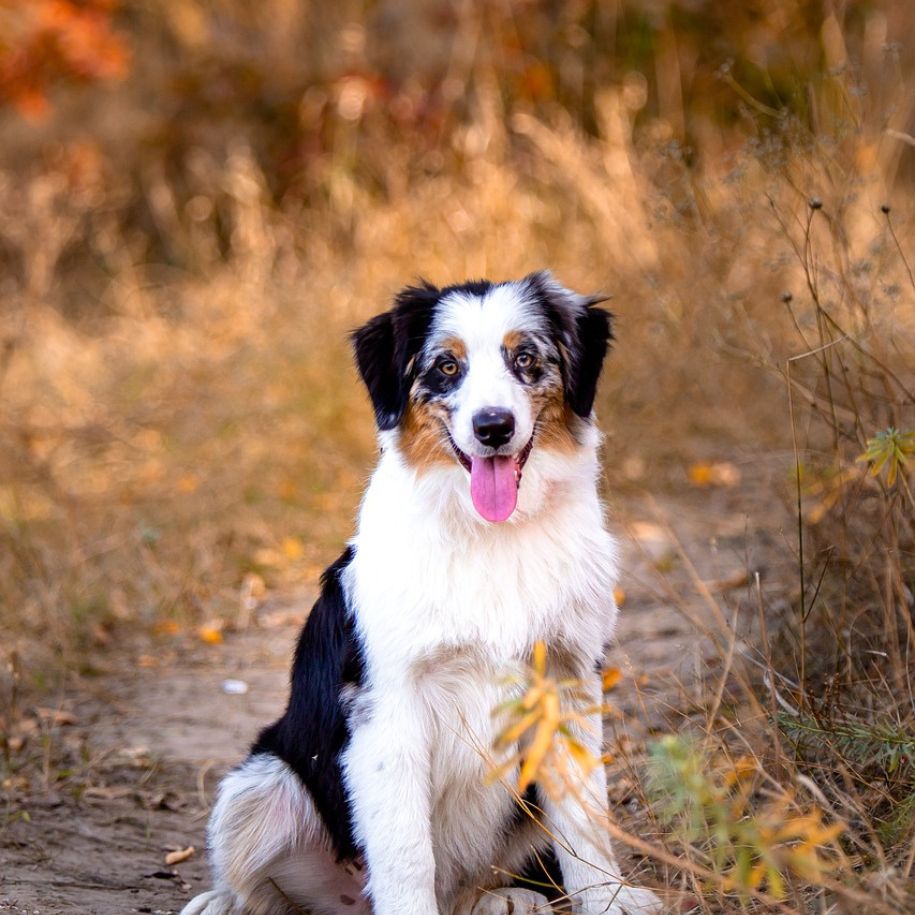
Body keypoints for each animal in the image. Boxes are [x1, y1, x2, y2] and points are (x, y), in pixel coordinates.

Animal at [181, 274, 664, 915]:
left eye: (525, 358)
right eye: (446, 366)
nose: (493, 427)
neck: (490, 534)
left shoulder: (568, 678)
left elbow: (586, 816)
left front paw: (609, 897)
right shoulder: (388, 705)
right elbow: (405, 850)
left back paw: (503, 898)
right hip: (260, 781)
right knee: (265, 886)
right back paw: (222, 903)